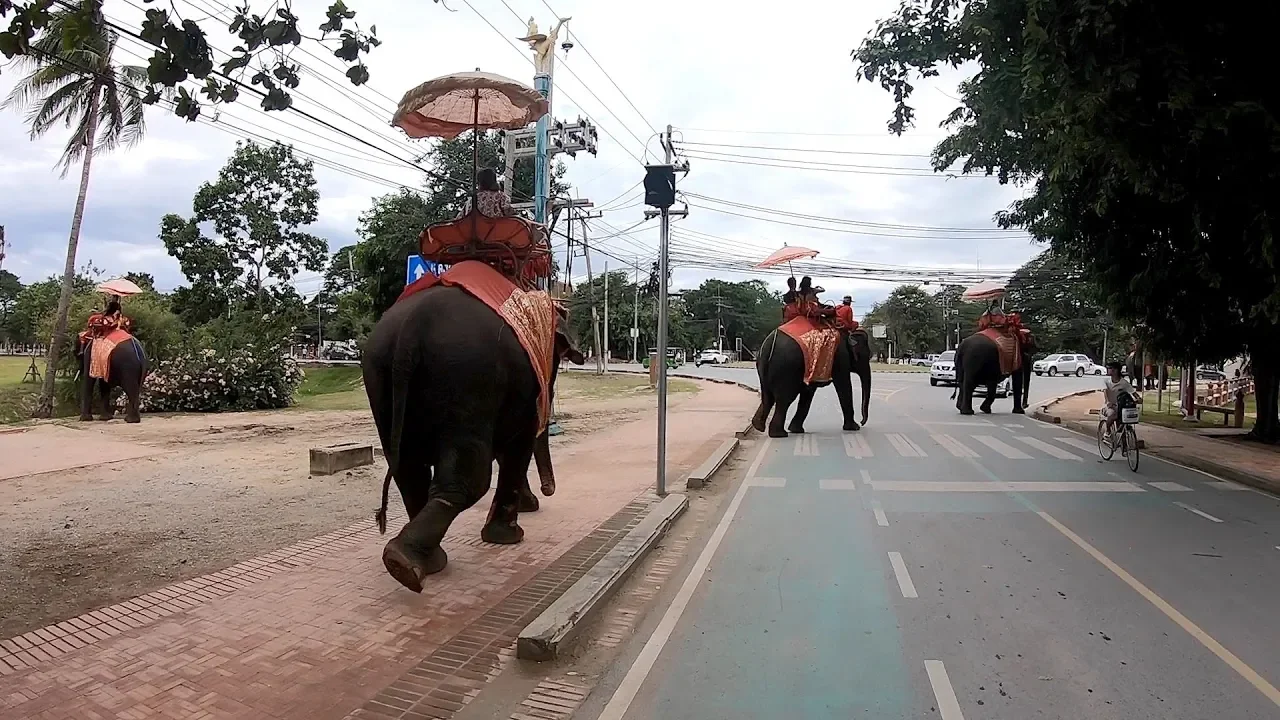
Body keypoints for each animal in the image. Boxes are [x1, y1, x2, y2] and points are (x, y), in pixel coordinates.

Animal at [360, 274, 581, 589]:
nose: (547, 490)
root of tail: (413, 326)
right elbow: (517, 445)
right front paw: (511, 535)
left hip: (379, 375)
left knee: (408, 470)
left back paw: (415, 562)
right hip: (467, 378)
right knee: (470, 478)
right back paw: (407, 563)